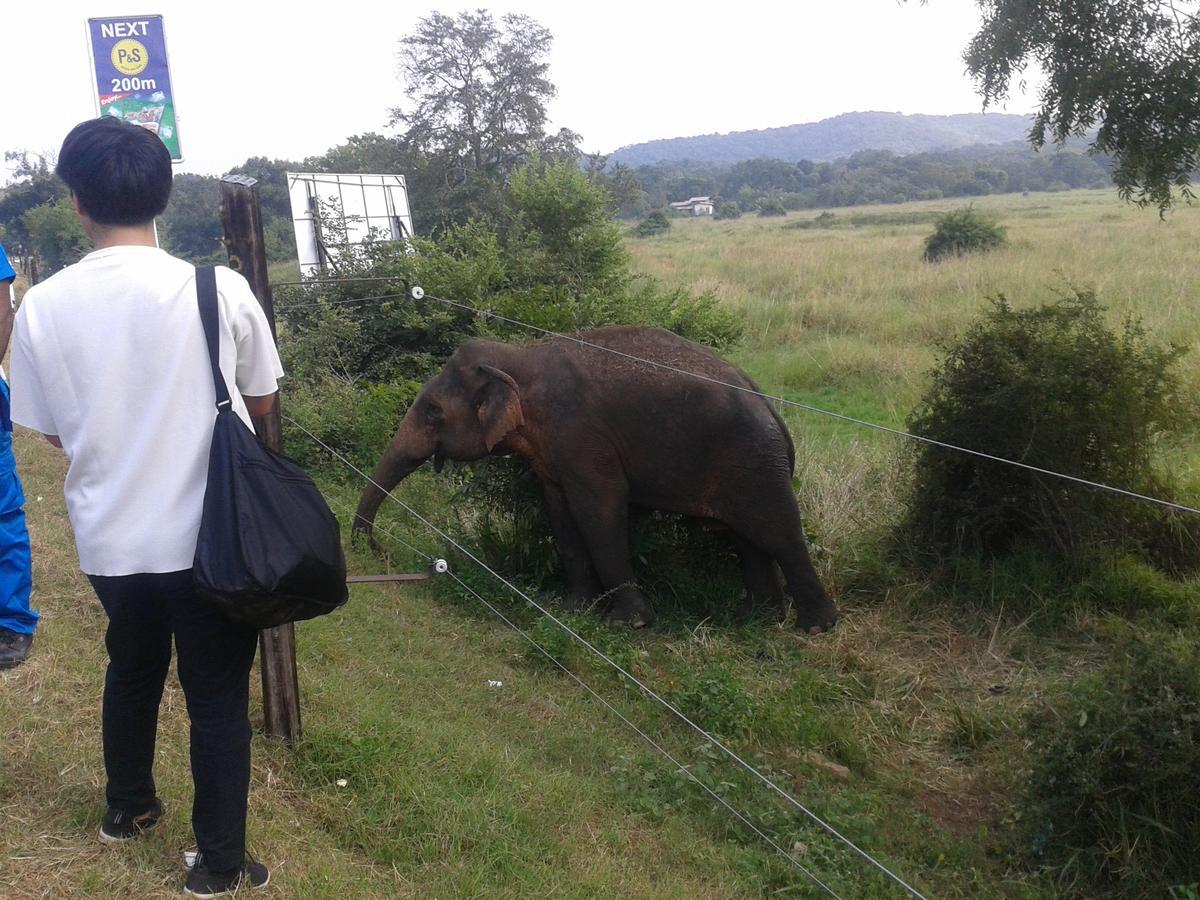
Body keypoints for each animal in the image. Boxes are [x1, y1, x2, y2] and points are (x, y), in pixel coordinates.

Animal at [350, 326, 840, 633]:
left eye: (433, 411)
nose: (377, 550)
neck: (519, 354)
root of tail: (773, 409)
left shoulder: (581, 435)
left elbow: (598, 509)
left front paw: (628, 624)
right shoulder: (553, 451)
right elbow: (559, 513)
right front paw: (571, 610)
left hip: (753, 462)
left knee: (776, 531)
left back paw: (814, 628)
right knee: (747, 538)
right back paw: (755, 620)